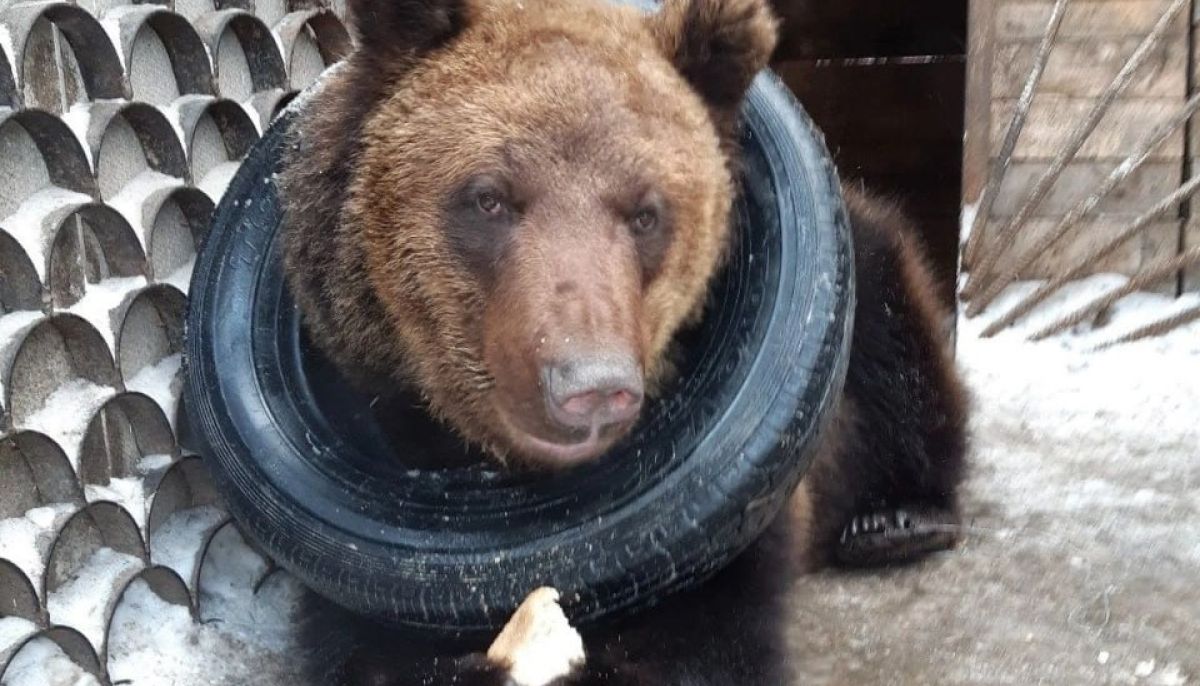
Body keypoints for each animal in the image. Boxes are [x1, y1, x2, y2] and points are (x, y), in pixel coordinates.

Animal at [278, 0, 964, 681]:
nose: (590, 386)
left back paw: (898, 518)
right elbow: (360, 640)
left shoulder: (726, 513)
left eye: (646, 214)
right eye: (489, 197)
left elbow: (713, 637)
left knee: (897, 349)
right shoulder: (366, 509)